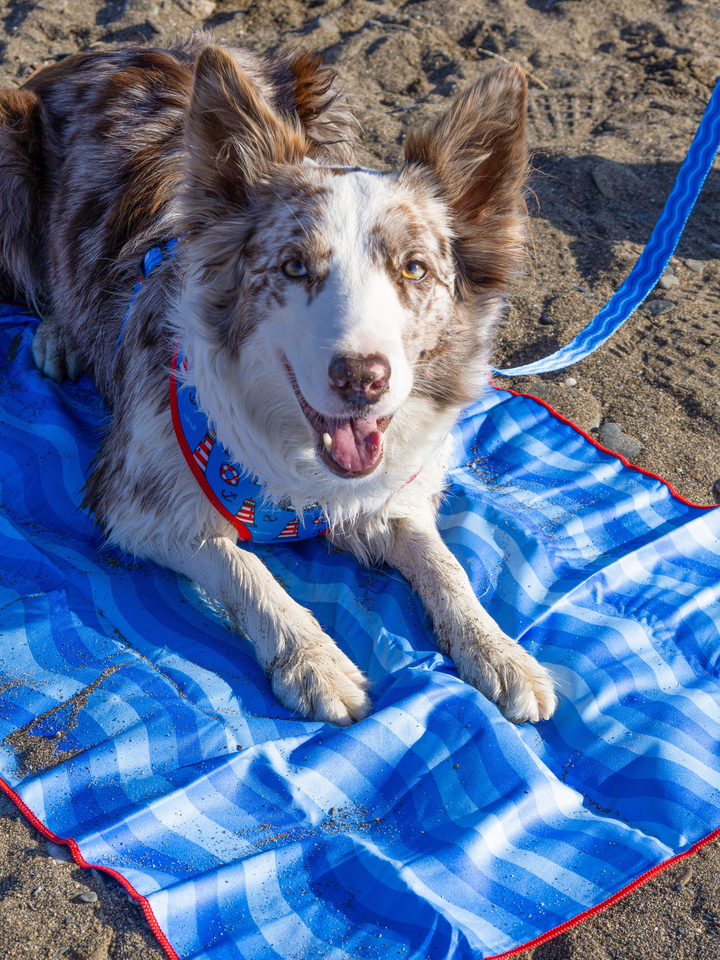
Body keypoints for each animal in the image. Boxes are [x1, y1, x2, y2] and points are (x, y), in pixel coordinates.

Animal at [0, 35, 556, 728]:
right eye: (293, 267)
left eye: (415, 269)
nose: (362, 378)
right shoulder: (132, 503)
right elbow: (246, 570)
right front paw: (315, 661)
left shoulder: (385, 499)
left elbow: (443, 563)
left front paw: (500, 651)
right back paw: (56, 334)